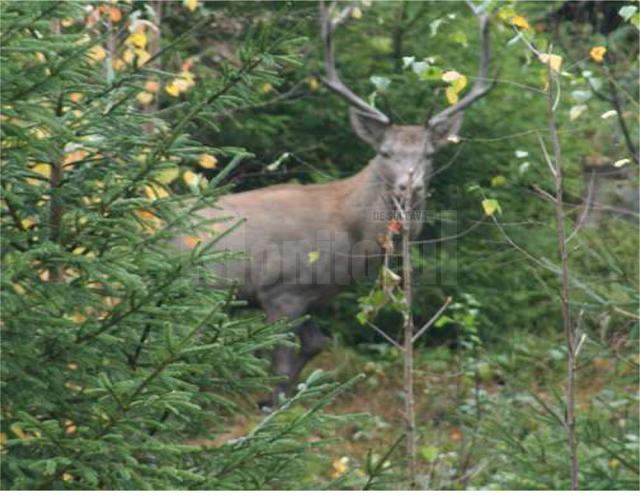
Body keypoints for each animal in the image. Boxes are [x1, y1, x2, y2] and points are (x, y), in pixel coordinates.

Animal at [175, 0, 496, 406]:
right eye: (385, 153)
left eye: (429, 155)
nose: (411, 186)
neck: (347, 235)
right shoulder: (280, 288)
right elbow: (283, 362)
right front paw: (271, 405)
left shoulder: (309, 296)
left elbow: (316, 345)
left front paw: (275, 399)